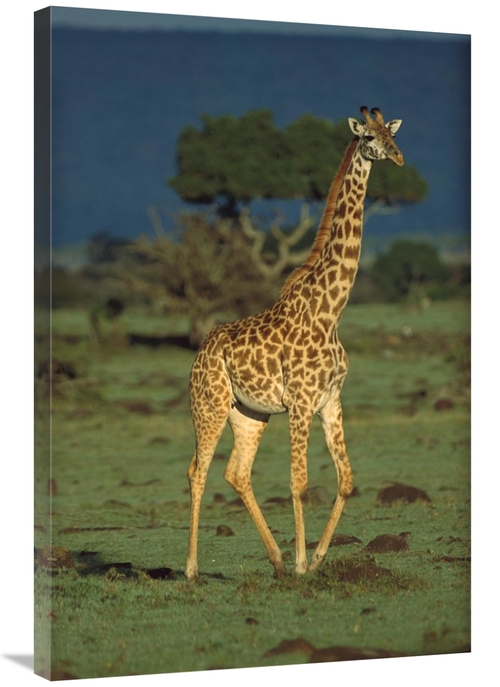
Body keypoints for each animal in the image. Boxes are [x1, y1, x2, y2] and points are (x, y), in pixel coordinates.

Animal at [185, 106, 404, 580]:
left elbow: (346, 479)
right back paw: (191, 569)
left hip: (249, 414)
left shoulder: (330, 400)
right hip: (209, 406)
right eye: (368, 138)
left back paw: (277, 560)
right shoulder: (301, 403)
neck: (331, 310)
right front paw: (305, 563)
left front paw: (316, 559)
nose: (397, 158)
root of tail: (199, 353)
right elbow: (299, 482)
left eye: (393, 134)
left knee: (236, 472)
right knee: (197, 471)